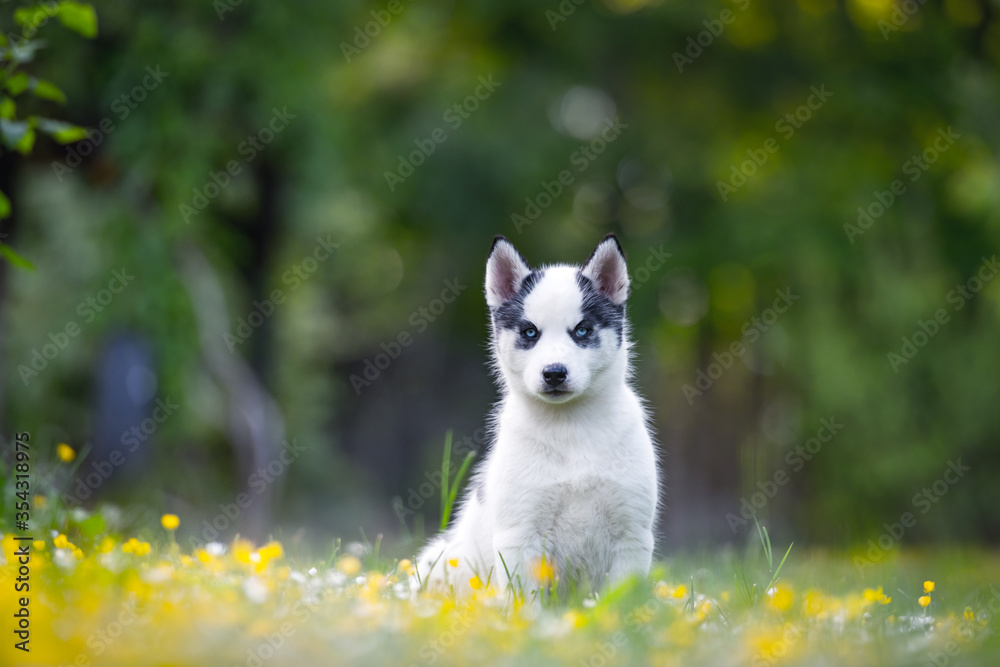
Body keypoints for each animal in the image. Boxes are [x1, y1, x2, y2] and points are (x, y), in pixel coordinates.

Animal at [418, 234, 660, 596]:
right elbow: (526, 599)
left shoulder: (632, 534)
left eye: (583, 331)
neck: (570, 427)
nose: (554, 373)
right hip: (439, 560)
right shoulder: (520, 534)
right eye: (530, 332)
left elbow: (621, 597)